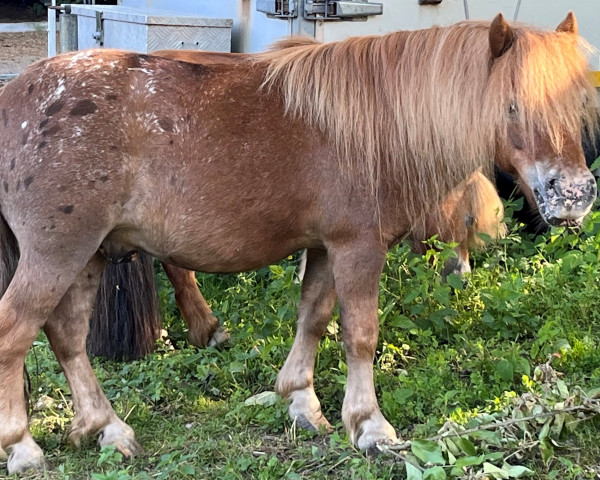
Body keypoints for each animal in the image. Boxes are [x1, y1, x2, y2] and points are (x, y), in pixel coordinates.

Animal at [0, 12, 596, 472]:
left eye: (579, 105)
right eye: (513, 104)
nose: (575, 195)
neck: (376, 128)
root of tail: (13, 98)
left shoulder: (327, 247)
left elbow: (313, 317)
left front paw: (302, 405)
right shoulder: (358, 246)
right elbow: (360, 334)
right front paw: (370, 426)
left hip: (90, 256)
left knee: (67, 338)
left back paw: (107, 429)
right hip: (58, 255)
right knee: (15, 334)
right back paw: (25, 448)